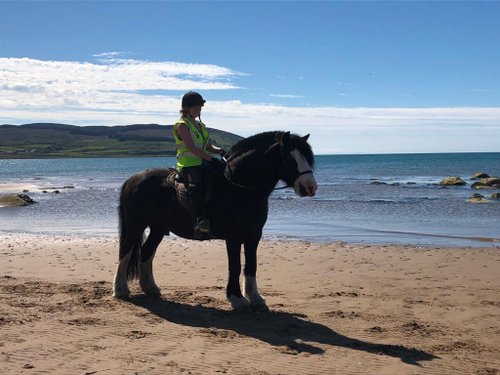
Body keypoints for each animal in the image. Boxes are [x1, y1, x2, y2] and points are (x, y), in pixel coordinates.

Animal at [112, 131, 316, 310]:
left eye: (307, 158)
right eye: (289, 158)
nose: (310, 187)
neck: (238, 188)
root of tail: (134, 178)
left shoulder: (254, 235)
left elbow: (251, 265)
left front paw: (256, 299)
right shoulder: (233, 237)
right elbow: (235, 266)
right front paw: (237, 299)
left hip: (158, 228)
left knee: (147, 252)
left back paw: (150, 288)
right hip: (135, 225)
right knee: (126, 252)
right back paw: (121, 290)